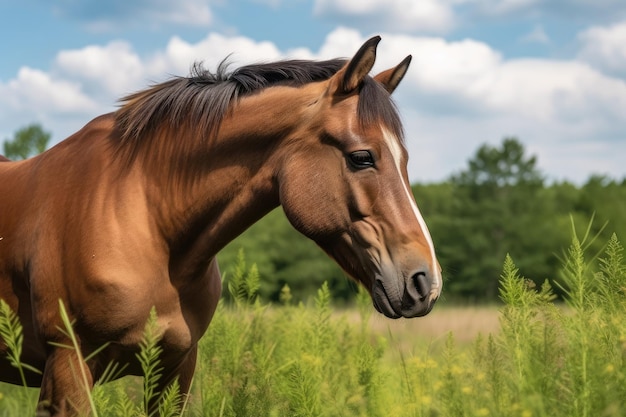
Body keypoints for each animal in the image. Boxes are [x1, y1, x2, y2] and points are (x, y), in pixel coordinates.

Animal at [0, 37, 438, 414]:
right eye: (362, 157)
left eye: (405, 159)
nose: (425, 282)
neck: (146, 221)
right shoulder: (68, 369)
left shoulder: (175, 370)